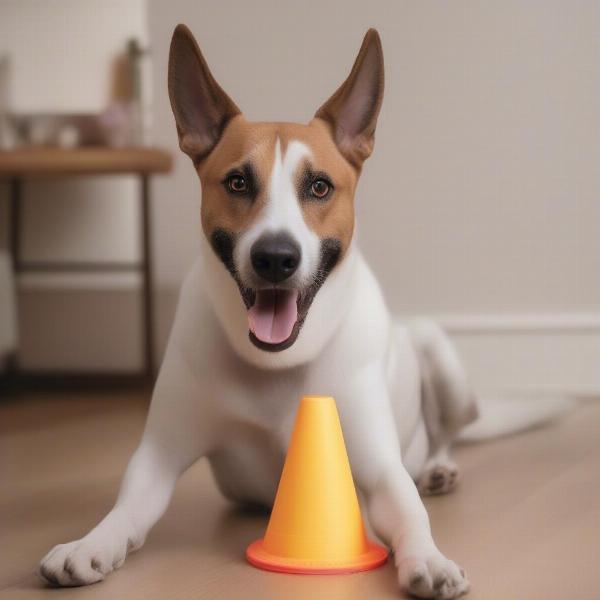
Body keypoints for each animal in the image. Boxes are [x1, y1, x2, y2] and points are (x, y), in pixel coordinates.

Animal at [37, 25, 568, 596]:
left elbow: (408, 510)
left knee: (444, 435)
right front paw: (89, 544)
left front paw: (430, 557)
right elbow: (127, 508)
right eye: (238, 182)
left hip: (441, 359)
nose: (275, 257)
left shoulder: (380, 467)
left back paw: (438, 468)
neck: (278, 363)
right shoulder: (158, 455)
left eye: (319, 186)